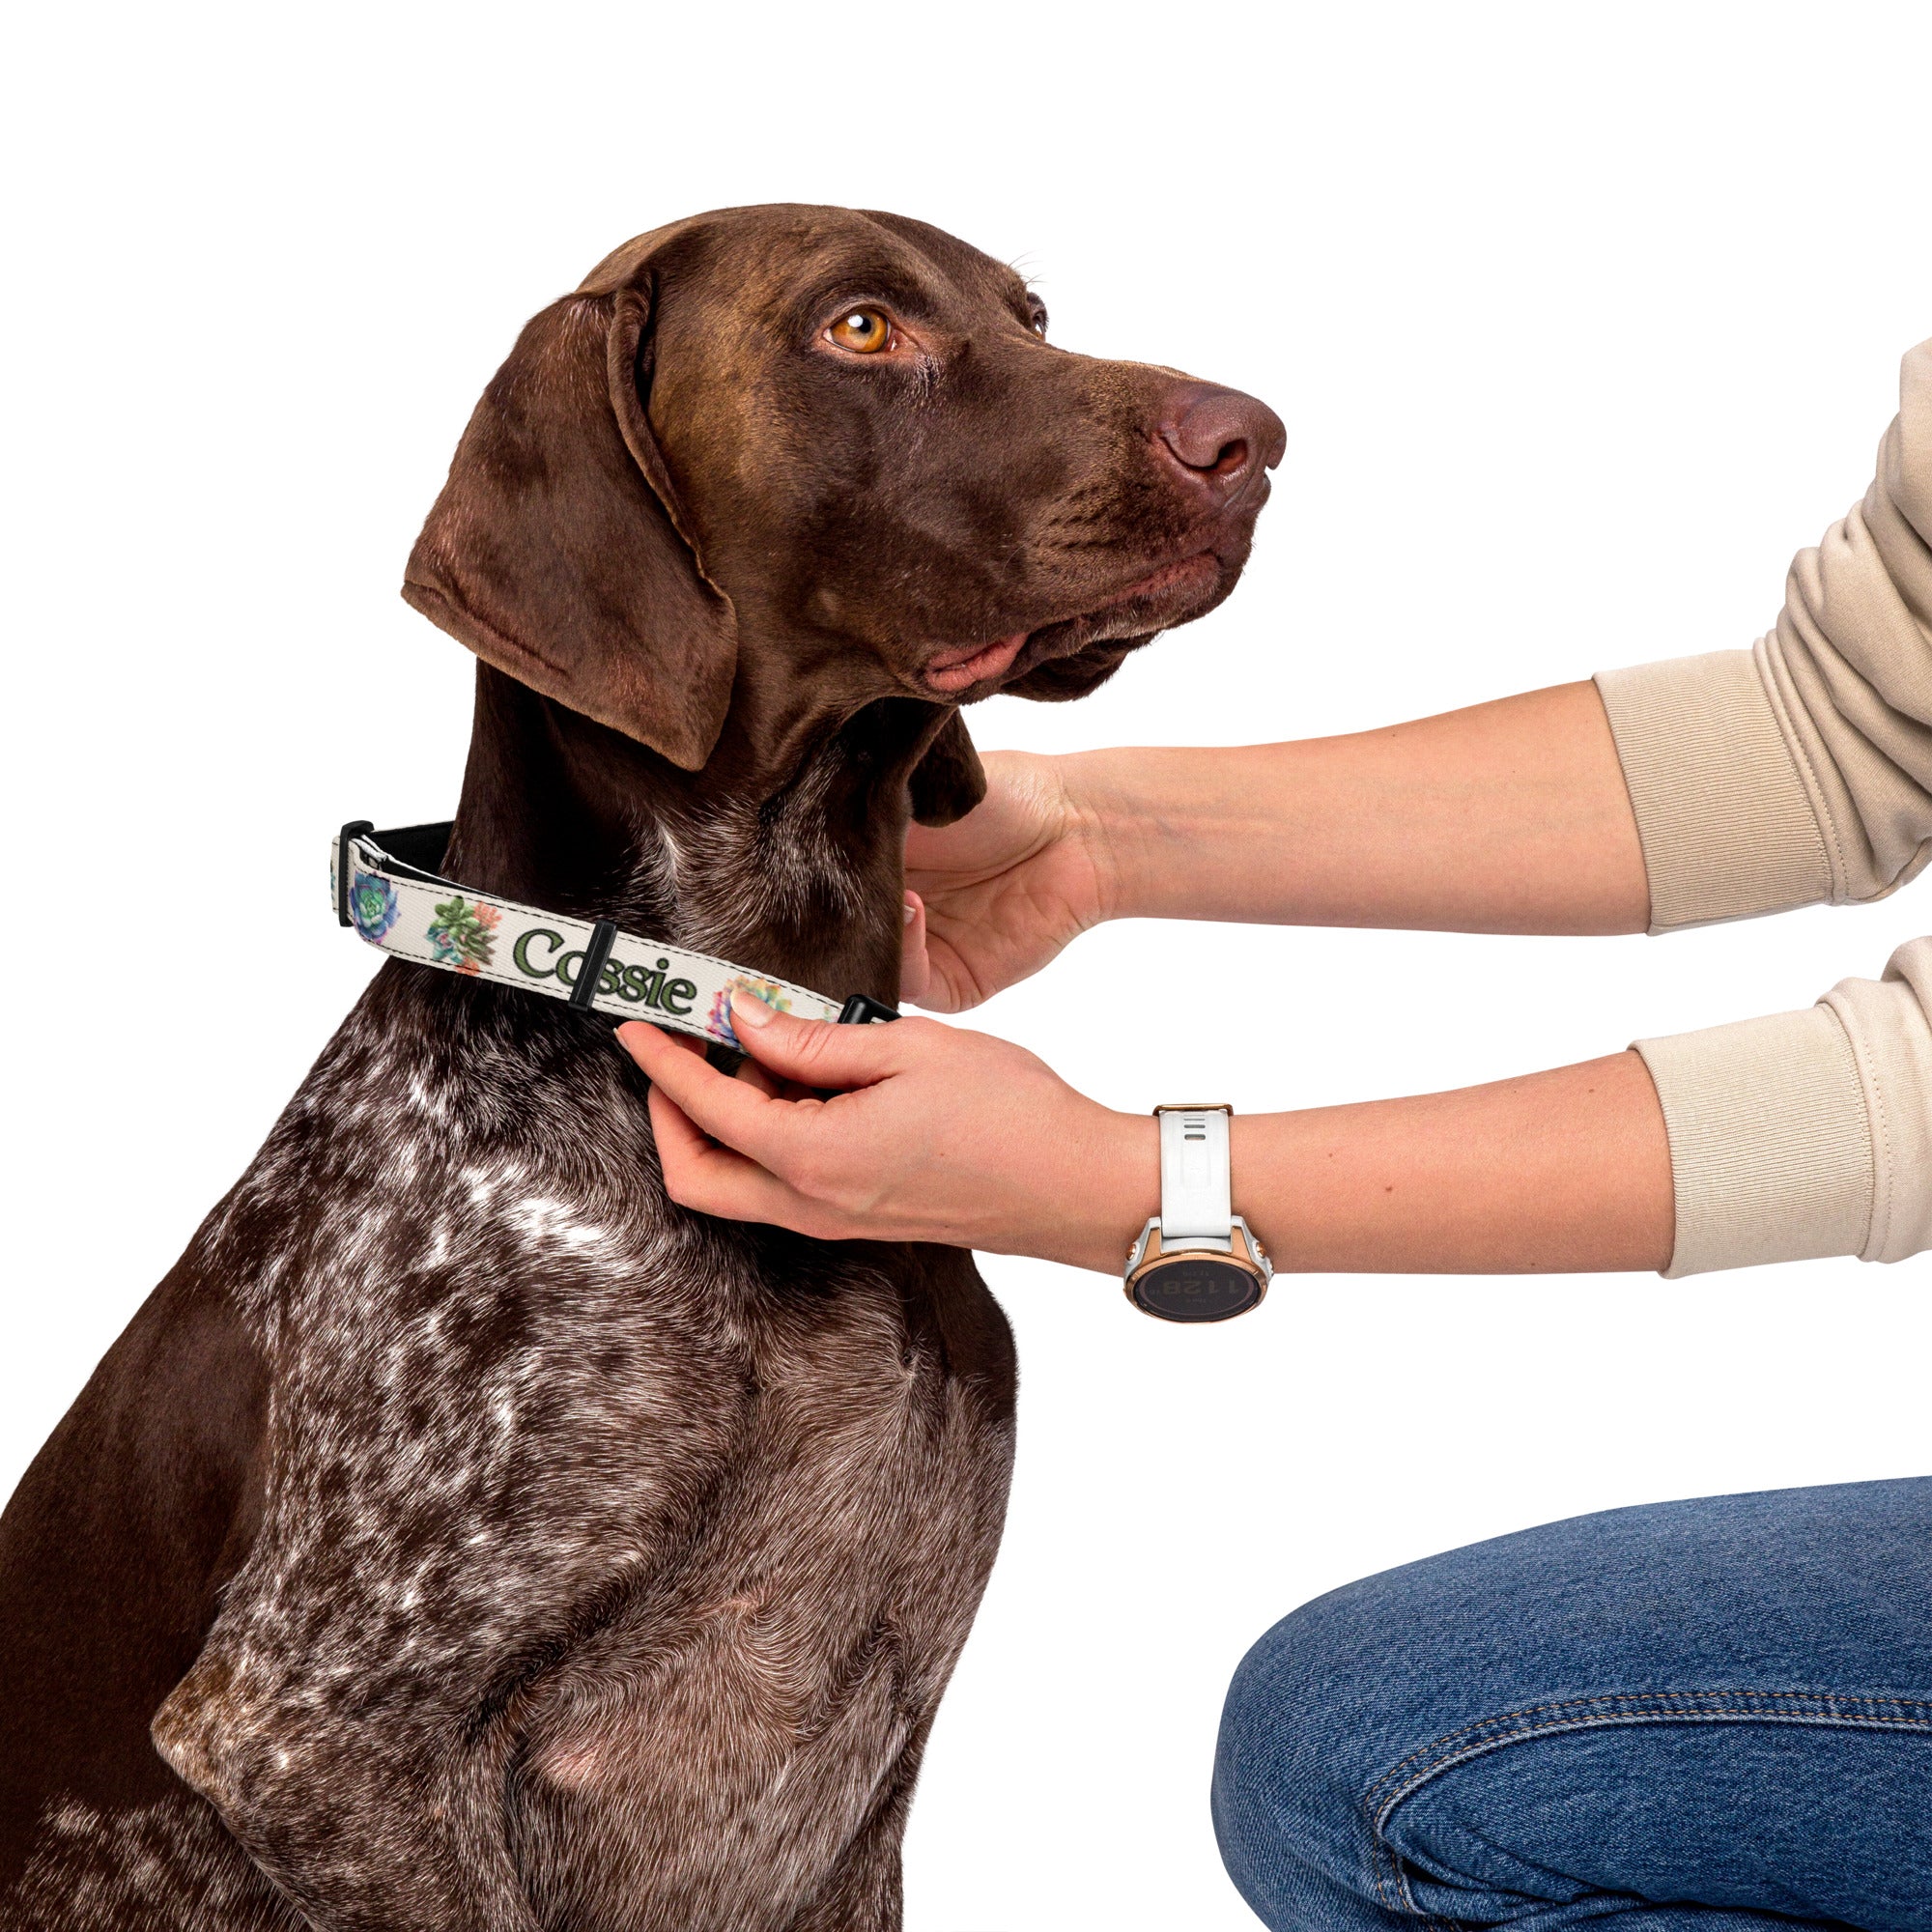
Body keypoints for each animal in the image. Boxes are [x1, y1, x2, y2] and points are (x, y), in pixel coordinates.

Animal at [0, 204, 1283, 1924]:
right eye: (861, 327)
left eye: (1031, 314)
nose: (1255, 439)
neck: (716, 995)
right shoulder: (310, 1743)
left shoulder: (857, 1815)